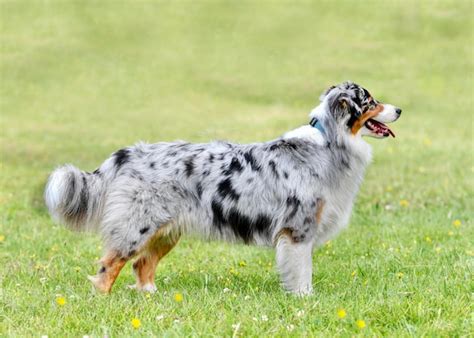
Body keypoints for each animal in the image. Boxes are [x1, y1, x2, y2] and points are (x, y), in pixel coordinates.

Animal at [43, 80, 400, 294]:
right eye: (370, 101)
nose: (399, 109)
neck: (328, 142)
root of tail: (129, 153)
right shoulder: (298, 230)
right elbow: (301, 272)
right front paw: (305, 300)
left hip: (166, 231)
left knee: (142, 264)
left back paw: (152, 298)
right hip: (137, 225)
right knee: (110, 265)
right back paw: (102, 299)